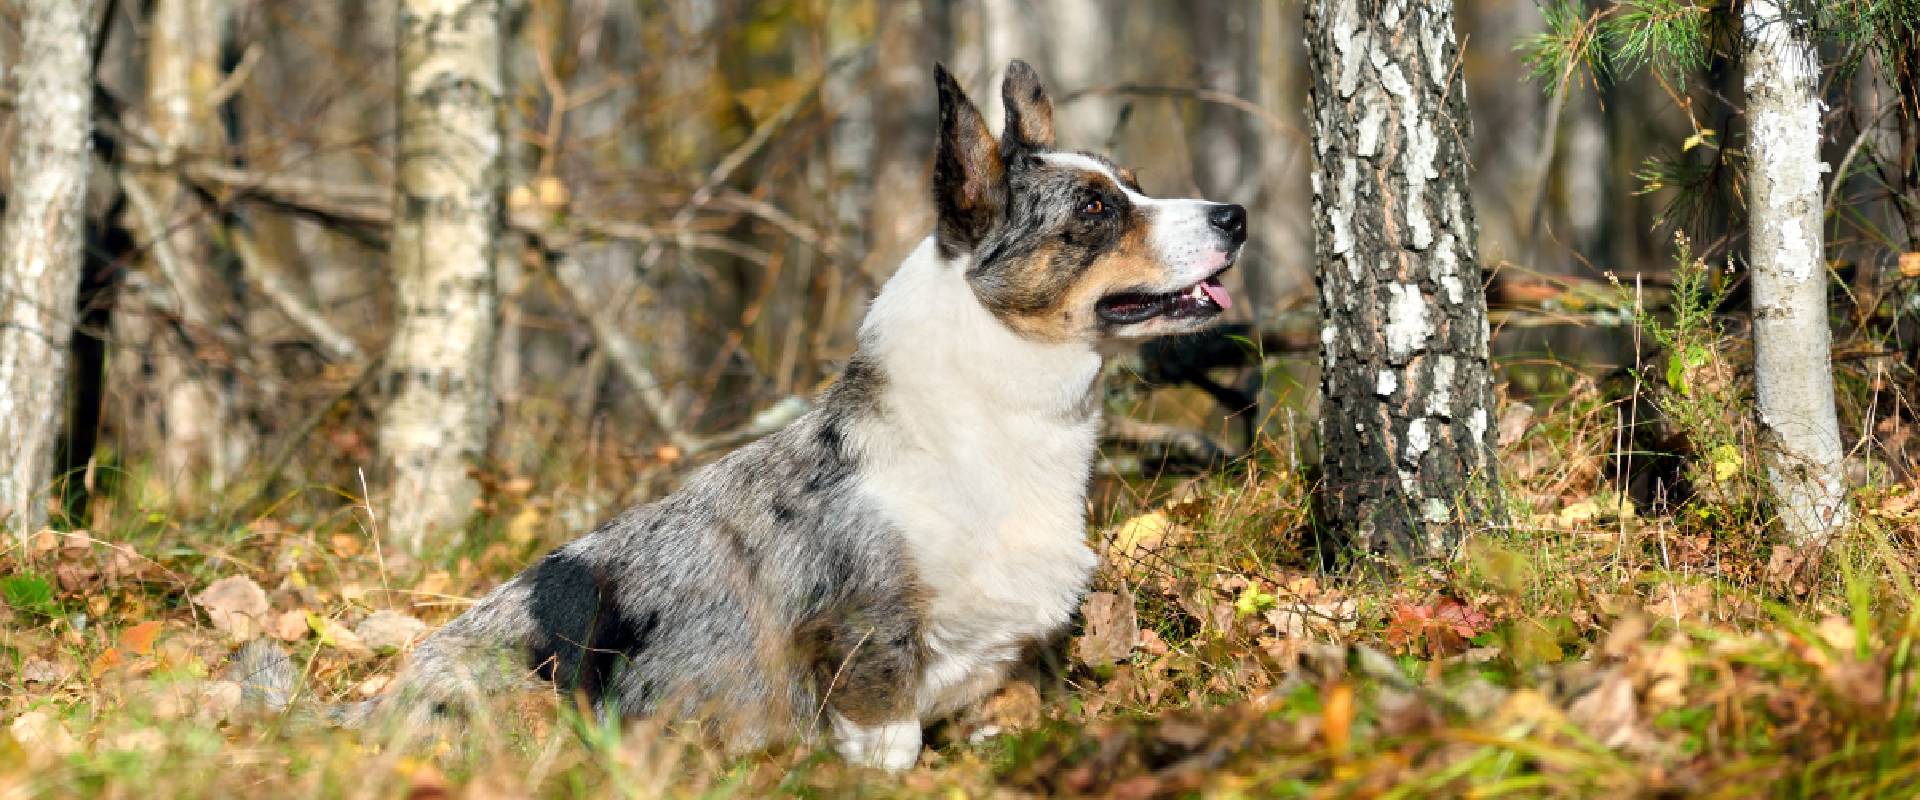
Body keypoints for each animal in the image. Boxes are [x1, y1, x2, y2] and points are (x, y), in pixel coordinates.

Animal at [232, 59, 1244, 771]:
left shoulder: (1008, 670)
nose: (1235, 213)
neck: (992, 423)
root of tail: (365, 709)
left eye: (1131, 182)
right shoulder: (870, 656)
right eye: (1095, 210)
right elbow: (891, 752)